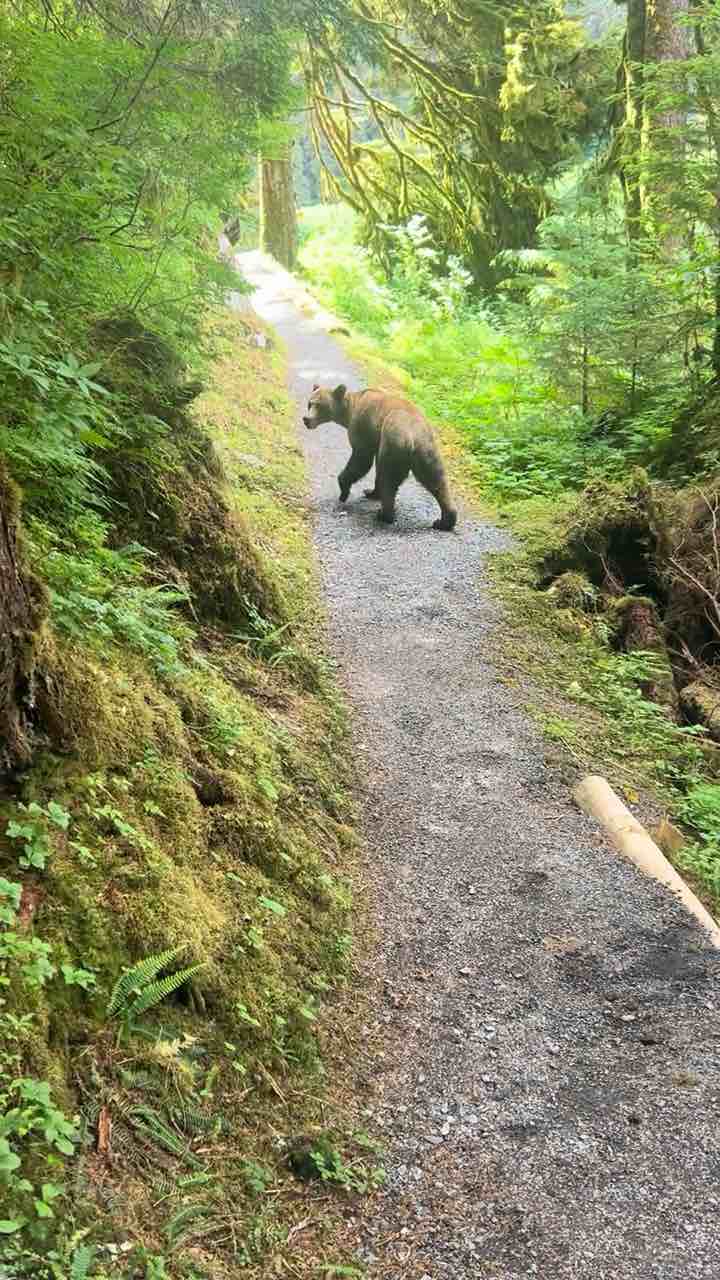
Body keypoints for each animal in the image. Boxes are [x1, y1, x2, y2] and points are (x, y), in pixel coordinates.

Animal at [302, 384, 458, 531]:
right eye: (310, 403)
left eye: (320, 405)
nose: (306, 419)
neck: (348, 412)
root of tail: (413, 436)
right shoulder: (376, 440)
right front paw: (371, 491)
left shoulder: (362, 426)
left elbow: (361, 459)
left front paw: (344, 490)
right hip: (428, 451)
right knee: (437, 481)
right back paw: (445, 520)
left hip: (393, 442)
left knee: (389, 479)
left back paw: (384, 514)